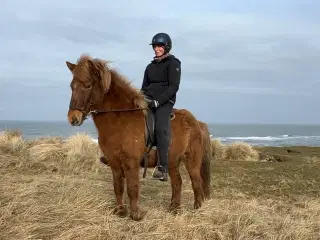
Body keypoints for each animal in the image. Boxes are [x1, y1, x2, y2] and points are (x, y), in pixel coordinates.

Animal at [65, 53, 212, 220]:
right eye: (72, 86)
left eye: (88, 85)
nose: (73, 118)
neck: (121, 120)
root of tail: (197, 123)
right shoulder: (114, 163)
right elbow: (118, 187)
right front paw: (120, 211)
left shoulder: (131, 162)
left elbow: (132, 188)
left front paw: (136, 215)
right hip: (172, 161)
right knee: (177, 183)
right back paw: (174, 209)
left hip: (191, 161)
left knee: (196, 182)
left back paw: (197, 208)